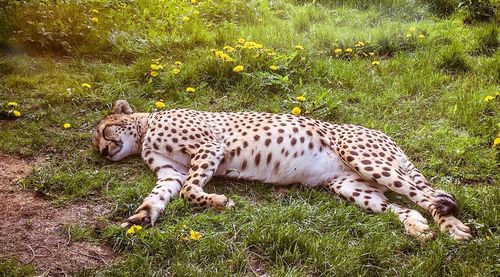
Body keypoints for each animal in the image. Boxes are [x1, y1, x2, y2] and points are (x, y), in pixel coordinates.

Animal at [94, 99, 472, 239]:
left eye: (103, 129)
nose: (101, 151)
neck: (145, 130)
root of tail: (382, 133)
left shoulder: (210, 147)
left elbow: (189, 190)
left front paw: (218, 201)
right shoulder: (170, 172)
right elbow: (163, 193)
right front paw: (142, 216)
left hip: (366, 158)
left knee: (428, 195)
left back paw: (452, 227)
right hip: (351, 185)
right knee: (404, 205)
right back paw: (416, 226)